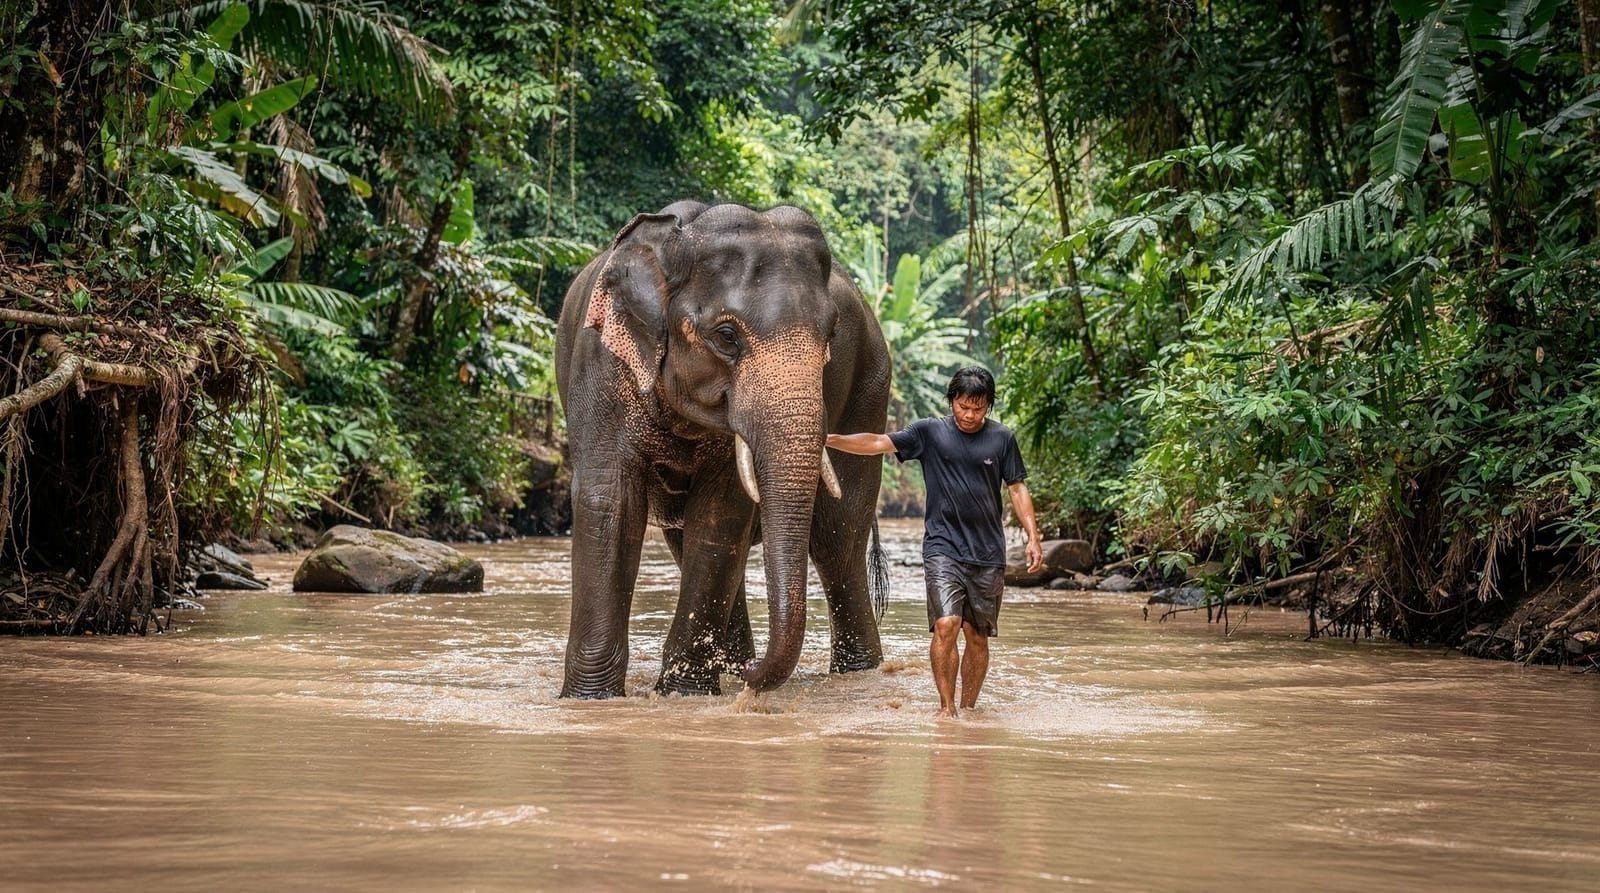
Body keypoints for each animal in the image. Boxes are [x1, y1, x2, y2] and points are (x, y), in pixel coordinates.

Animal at [554, 201, 890, 698]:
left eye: (830, 336)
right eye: (727, 336)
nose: (752, 675)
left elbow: (721, 511)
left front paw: (685, 692)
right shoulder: (602, 362)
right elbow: (609, 501)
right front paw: (591, 700)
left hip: (871, 385)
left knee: (838, 537)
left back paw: (851, 672)